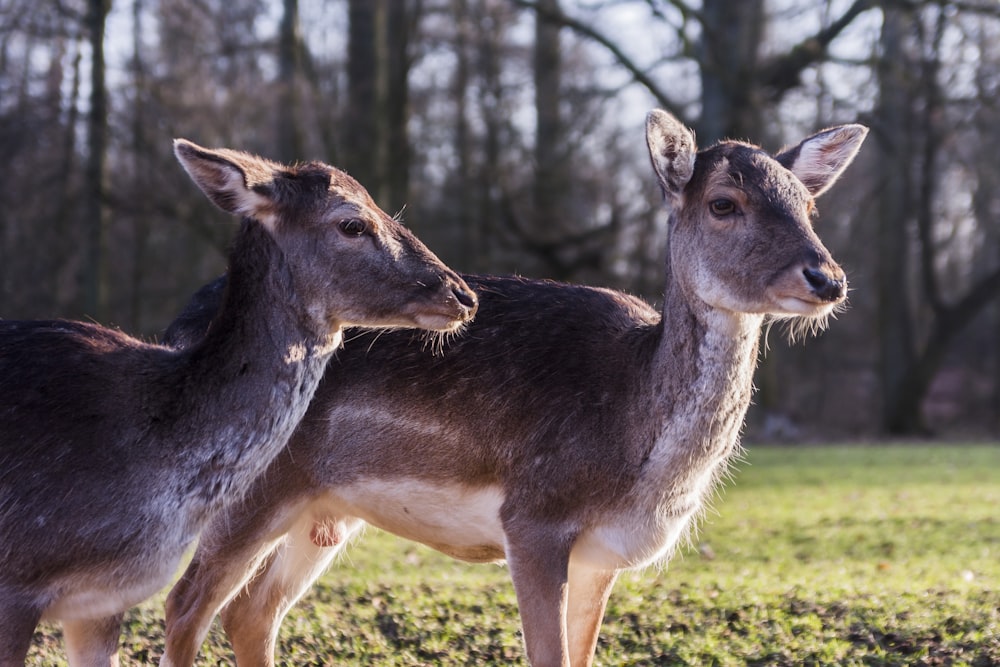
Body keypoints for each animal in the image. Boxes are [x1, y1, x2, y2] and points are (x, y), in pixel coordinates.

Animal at [160, 111, 864, 667]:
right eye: (723, 203)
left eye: (809, 206)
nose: (826, 278)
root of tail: (179, 331)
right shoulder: (533, 518)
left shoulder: (600, 558)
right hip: (250, 489)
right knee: (185, 605)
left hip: (321, 512)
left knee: (250, 613)